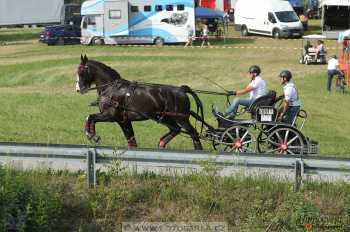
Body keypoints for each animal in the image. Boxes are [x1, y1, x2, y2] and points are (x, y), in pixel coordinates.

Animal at [75, 55, 204, 150]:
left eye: (81, 71)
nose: (78, 88)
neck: (111, 88)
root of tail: (182, 89)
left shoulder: (110, 116)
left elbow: (90, 117)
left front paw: (92, 135)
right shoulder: (124, 121)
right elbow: (132, 142)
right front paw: (92, 135)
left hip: (181, 118)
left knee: (193, 133)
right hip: (166, 118)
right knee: (176, 129)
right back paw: (161, 143)